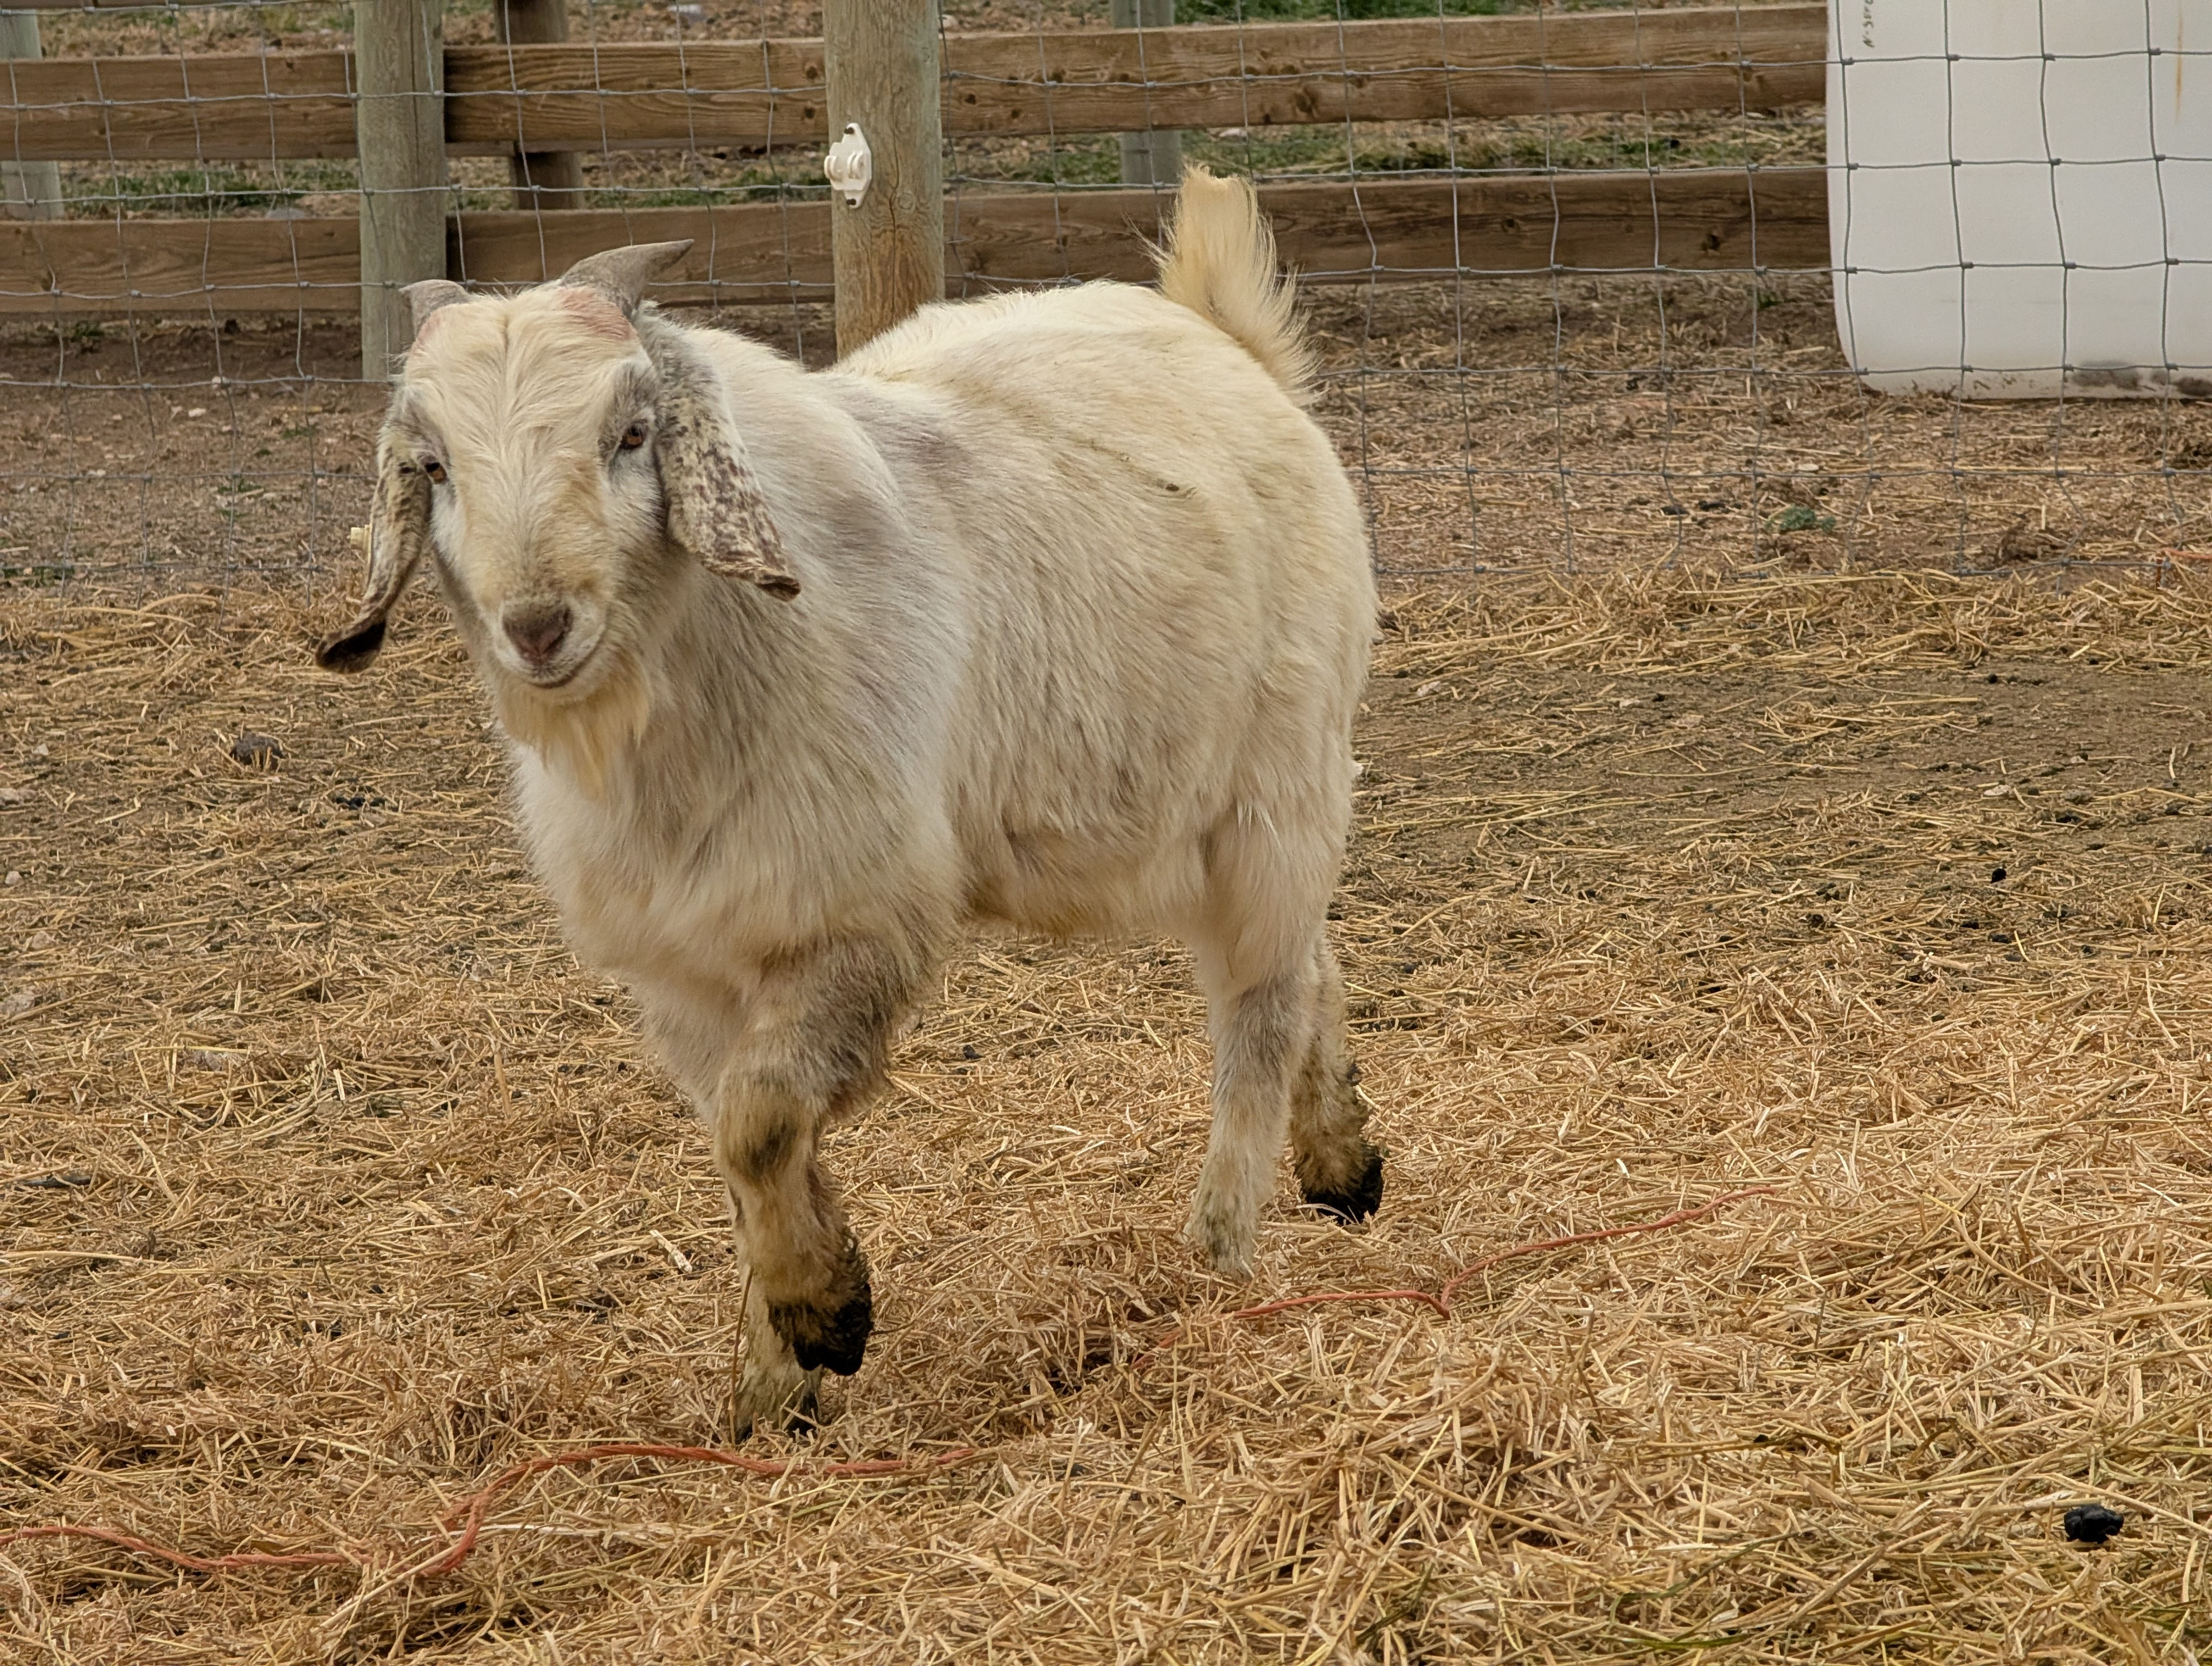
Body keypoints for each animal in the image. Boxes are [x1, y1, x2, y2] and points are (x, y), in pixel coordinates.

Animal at [318, 166, 1379, 1435]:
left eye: (631, 435)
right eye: (433, 467)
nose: (537, 626)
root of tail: (1224, 338)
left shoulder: (856, 919)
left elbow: (764, 1118)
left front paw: (825, 1314)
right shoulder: (686, 971)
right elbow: (742, 1144)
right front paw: (777, 1375)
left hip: (1274, 785)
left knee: (1258, 1009)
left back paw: (1221, 1245)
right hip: (1164, 818)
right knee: (1310, 962)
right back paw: (1343, 1163)